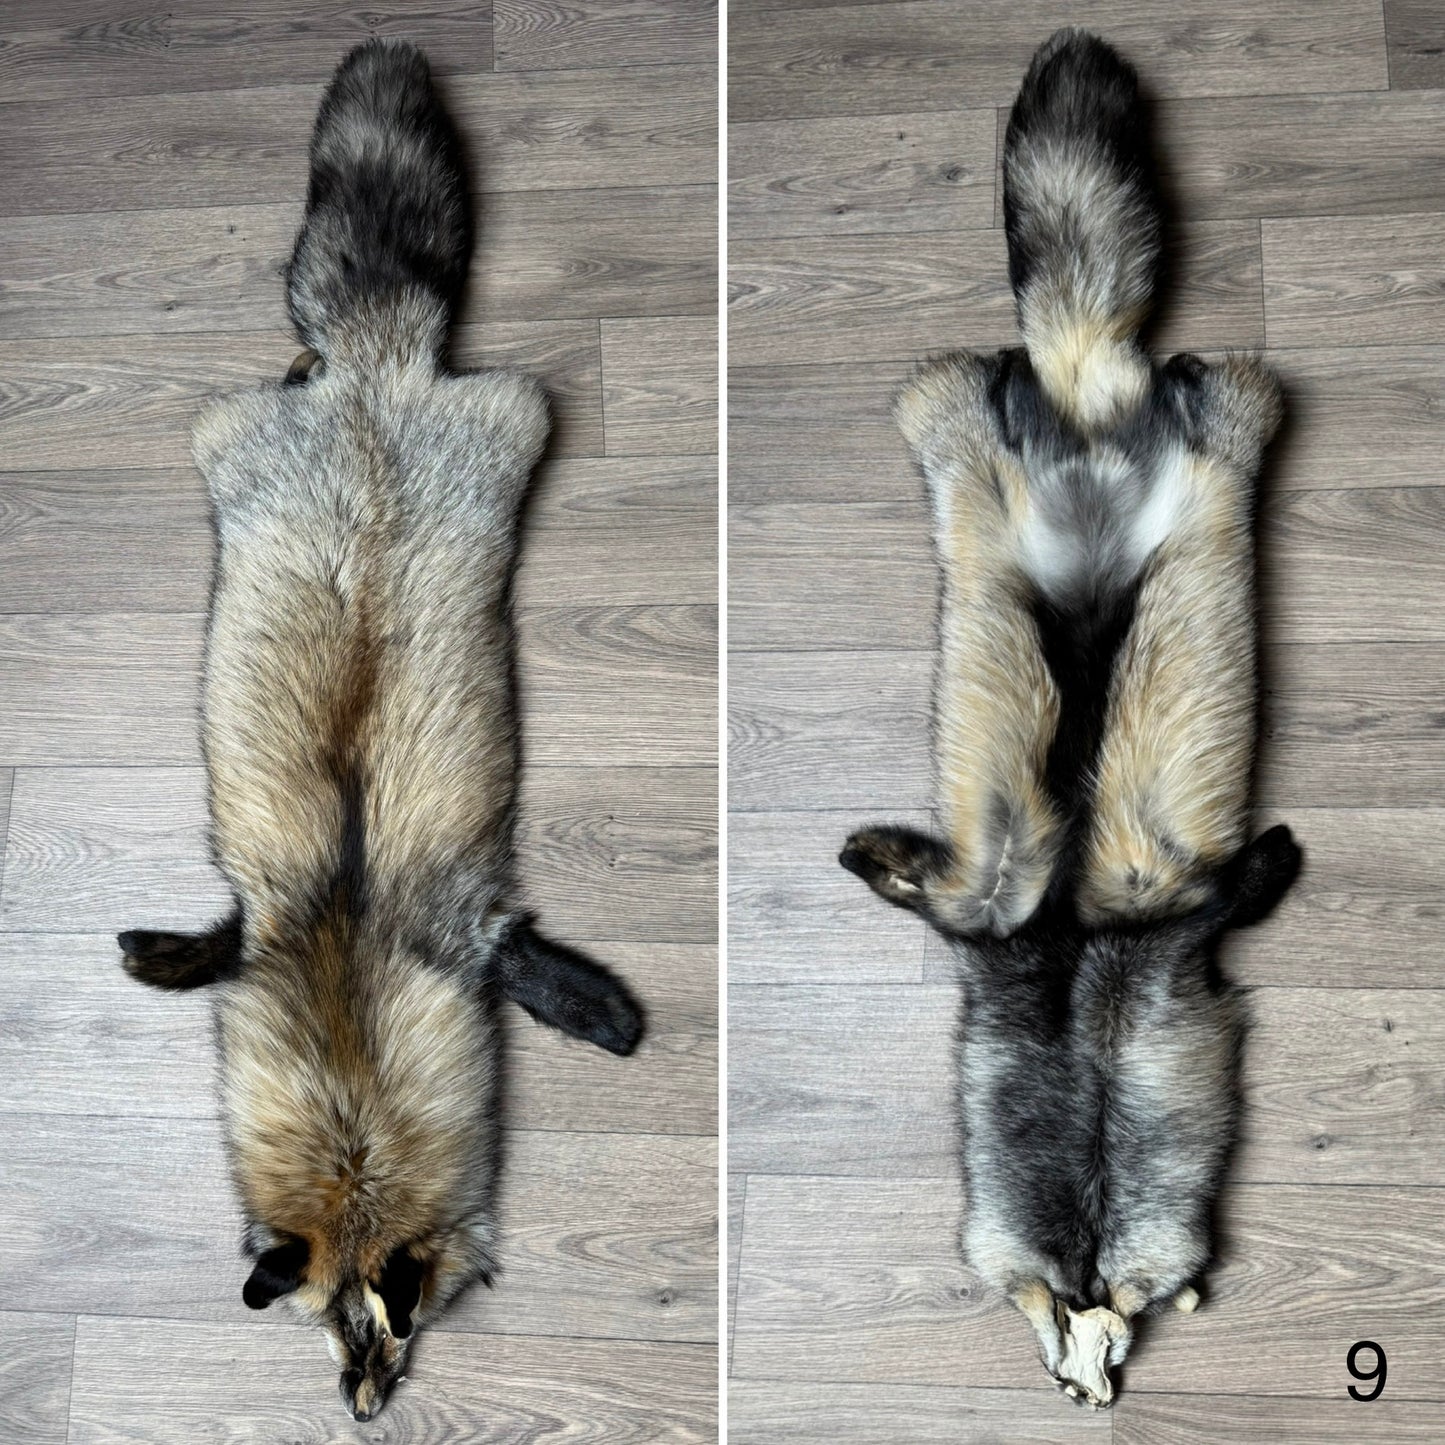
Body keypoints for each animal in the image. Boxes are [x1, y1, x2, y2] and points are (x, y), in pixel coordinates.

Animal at [118, 40, 643, 1422]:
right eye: (328, 1329)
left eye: (399, 1324)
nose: (364, 1416)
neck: (346, 948)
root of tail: (372, 372)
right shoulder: (269, 916)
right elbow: (209, 944)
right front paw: (158, 959)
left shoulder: (456, 927)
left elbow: (535, 967)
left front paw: (605, 1016)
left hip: (506, 420)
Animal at [840, 29, 1301, 1408]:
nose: (1085, 1382)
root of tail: (1086, 393)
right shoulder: (1019, 900)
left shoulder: (1080, 905)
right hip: (1010, 501)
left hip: (1171, 492)